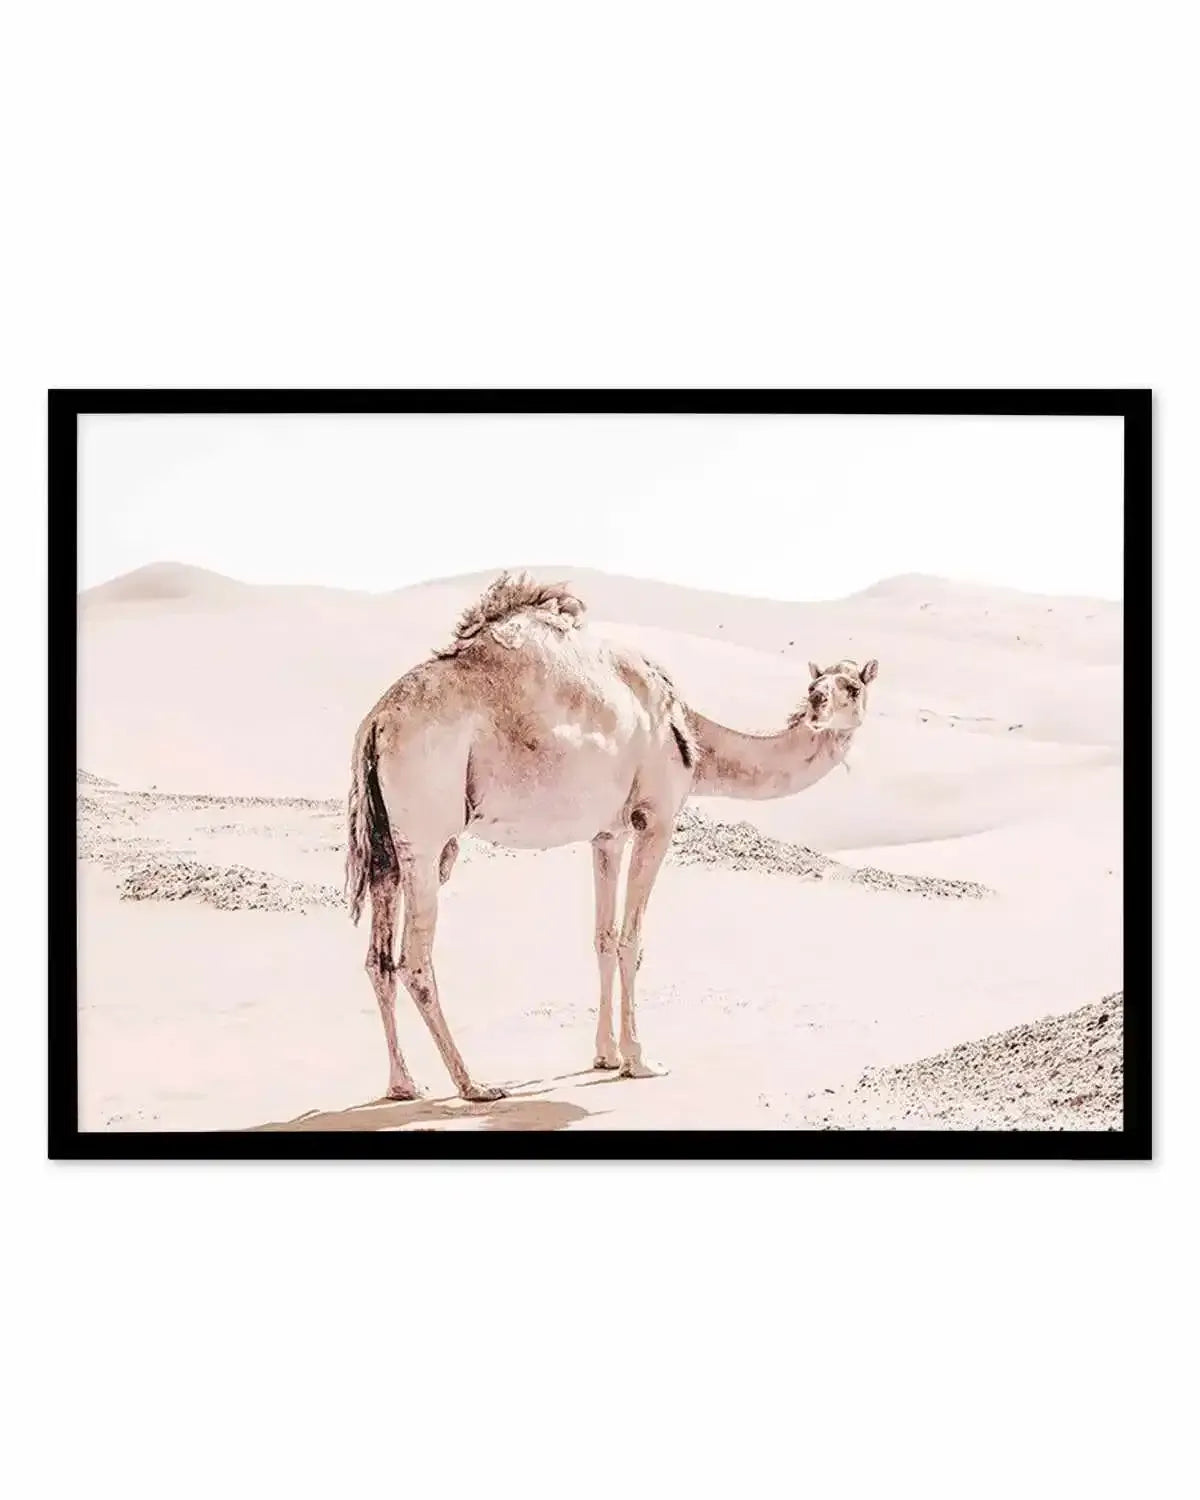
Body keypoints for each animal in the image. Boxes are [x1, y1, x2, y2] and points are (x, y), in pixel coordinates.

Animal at [345, 572, 878, 1102]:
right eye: (818, 684)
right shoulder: (655, 820)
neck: (692, 736)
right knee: (415, 960)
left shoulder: (609, 834)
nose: (817, 704)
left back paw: (403, 1083)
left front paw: (604, 1055)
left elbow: (603, 936)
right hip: (427, 831)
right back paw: (473, 1084)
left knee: (378, 958)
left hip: (388, 841)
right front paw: (640, 1060)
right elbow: (631, 938)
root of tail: (376, 720)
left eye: (850, 686)